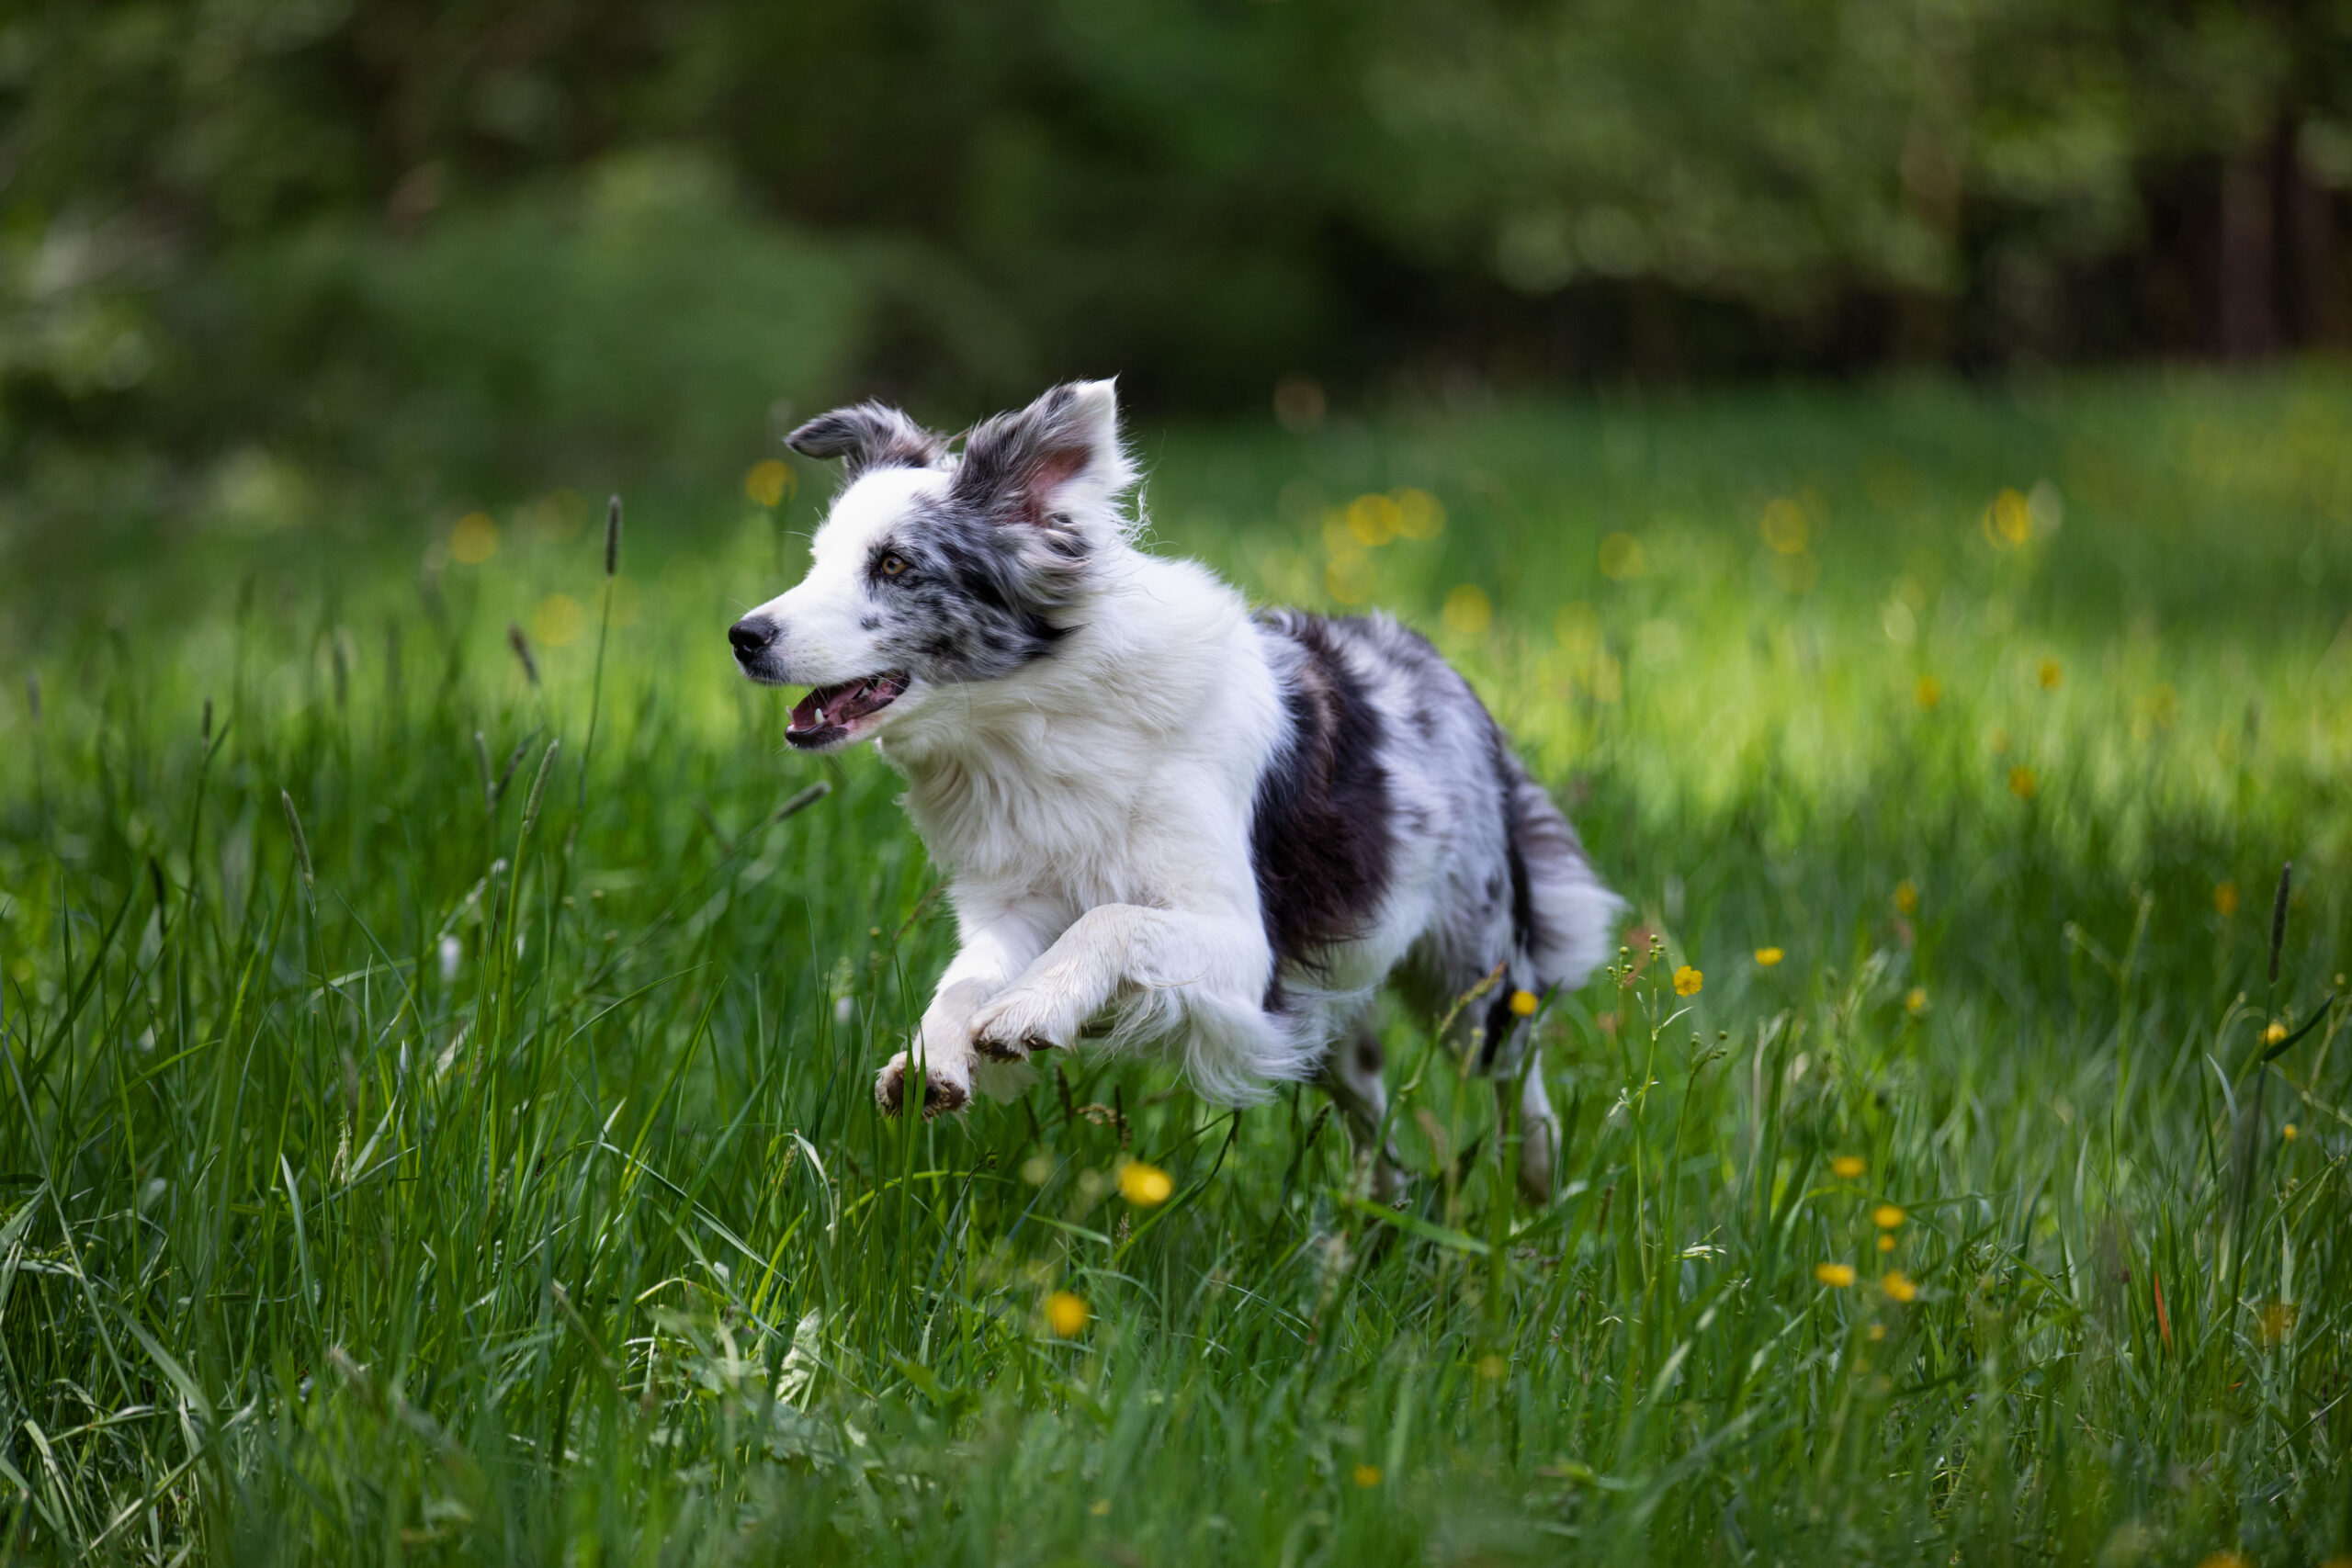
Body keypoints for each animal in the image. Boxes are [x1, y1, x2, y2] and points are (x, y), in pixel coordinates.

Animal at [733, 383, 1618, 1203]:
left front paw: (1031, 1009)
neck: (1034, 722)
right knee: (1372, 1112)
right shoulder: (1015, 901)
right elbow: (965, 980)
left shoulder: (1245, 946)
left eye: (893, 565)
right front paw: (931, 1056)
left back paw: (1534, 1199)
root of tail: (1439, 666)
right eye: (816, 561)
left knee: (1517, 1074)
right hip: (1330, 1008)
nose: (744, 636)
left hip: (1470, 974)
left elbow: (1112, 920)